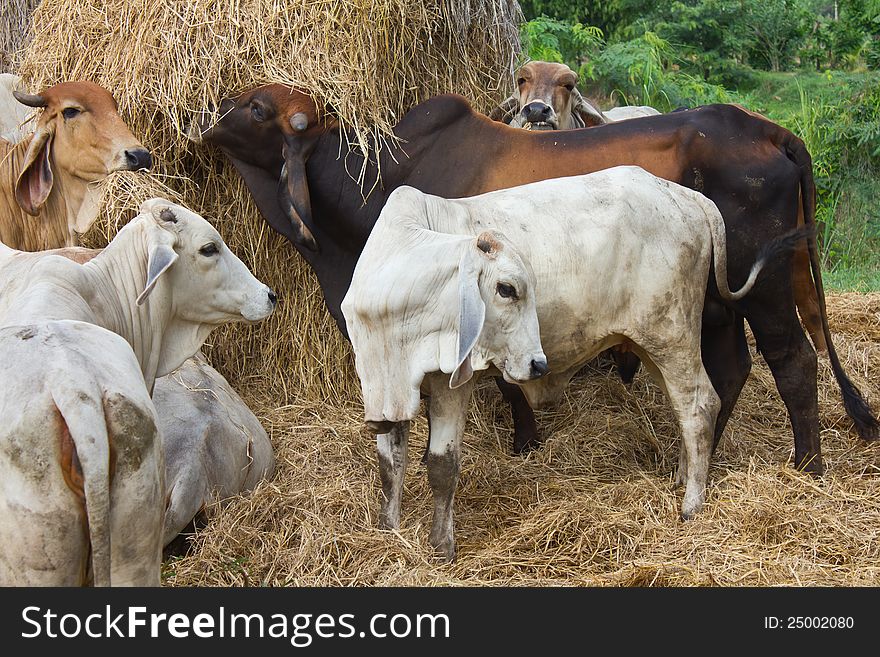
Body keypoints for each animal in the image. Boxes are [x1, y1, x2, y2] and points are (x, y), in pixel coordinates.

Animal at [192, 87, 880, 476]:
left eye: (256, 108)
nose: (203, 115)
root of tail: (767, 130)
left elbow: (502, 378)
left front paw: (524, 439)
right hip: (714, 302)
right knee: (730, 369)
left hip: (765, 291)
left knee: (793, 361)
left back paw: (806, 468)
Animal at [344, 165, 796, 560]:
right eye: (506, 289)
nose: (538, 364)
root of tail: (687, 196)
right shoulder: (381, 386)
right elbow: (390, 463)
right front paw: (389, 530)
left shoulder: (450, 382)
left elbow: (442, 465)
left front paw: (442, 548)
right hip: (653, 345)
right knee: (684, 408)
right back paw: (683, 477)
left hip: (671, 334)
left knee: (701, 405)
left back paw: (691, 504)